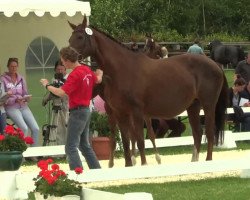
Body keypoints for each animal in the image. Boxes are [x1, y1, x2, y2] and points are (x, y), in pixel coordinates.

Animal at [68, 17, 229, 166]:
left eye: (80, 37)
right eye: (70, 38)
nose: (67, 54)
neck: (122, 69)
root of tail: (215, 64)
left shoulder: (137, 112)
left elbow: (140, 140)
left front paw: (144, 164)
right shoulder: (120, 113)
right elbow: (126, 142)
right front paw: (128, 165)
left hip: (208, 105)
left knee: (209, 132)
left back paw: (208, 160)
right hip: (193, 106)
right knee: (197, 133)